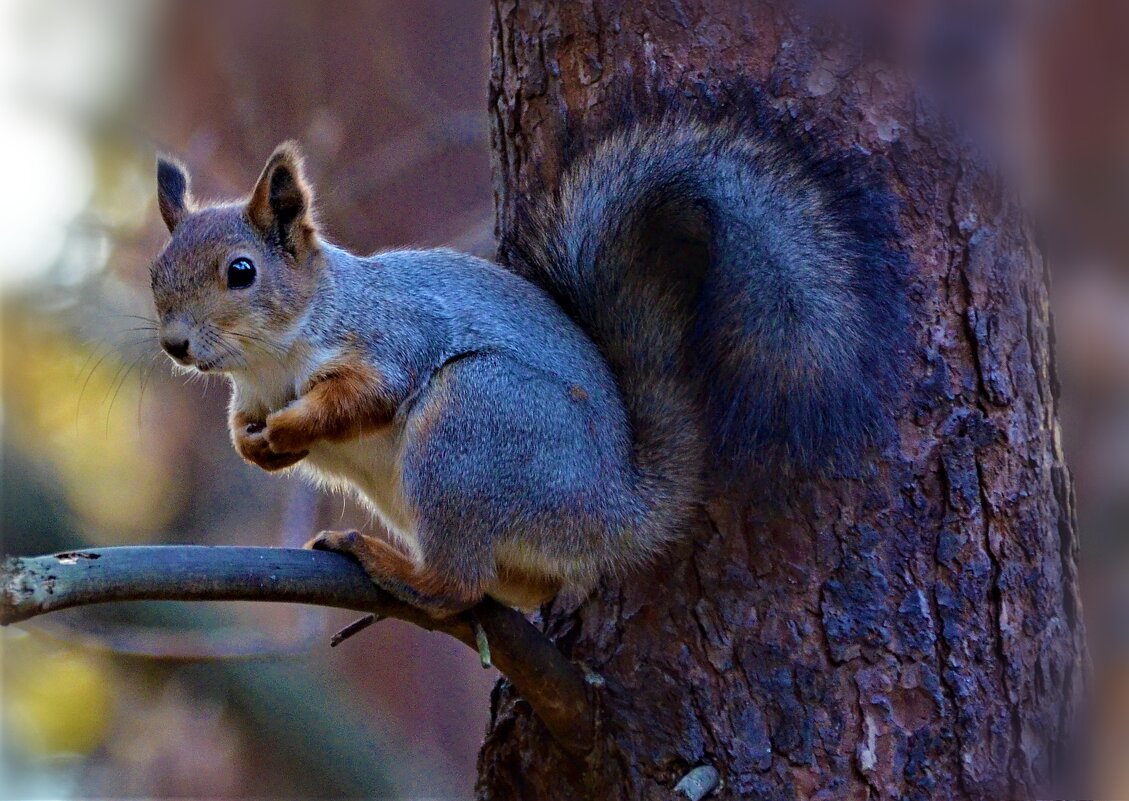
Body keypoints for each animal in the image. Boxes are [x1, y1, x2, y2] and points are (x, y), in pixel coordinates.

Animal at [152, 112, 907, 614]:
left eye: (241, 271)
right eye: (158, 273)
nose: (174, 345)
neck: (268, 363)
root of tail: (619, 505)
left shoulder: (392, 339)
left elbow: (362, 396)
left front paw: (287, 429)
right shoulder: (251, 390)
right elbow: (245, 425)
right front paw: (253, 445)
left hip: (473, 424)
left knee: (455, 587)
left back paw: (386, 562)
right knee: (506, 586)